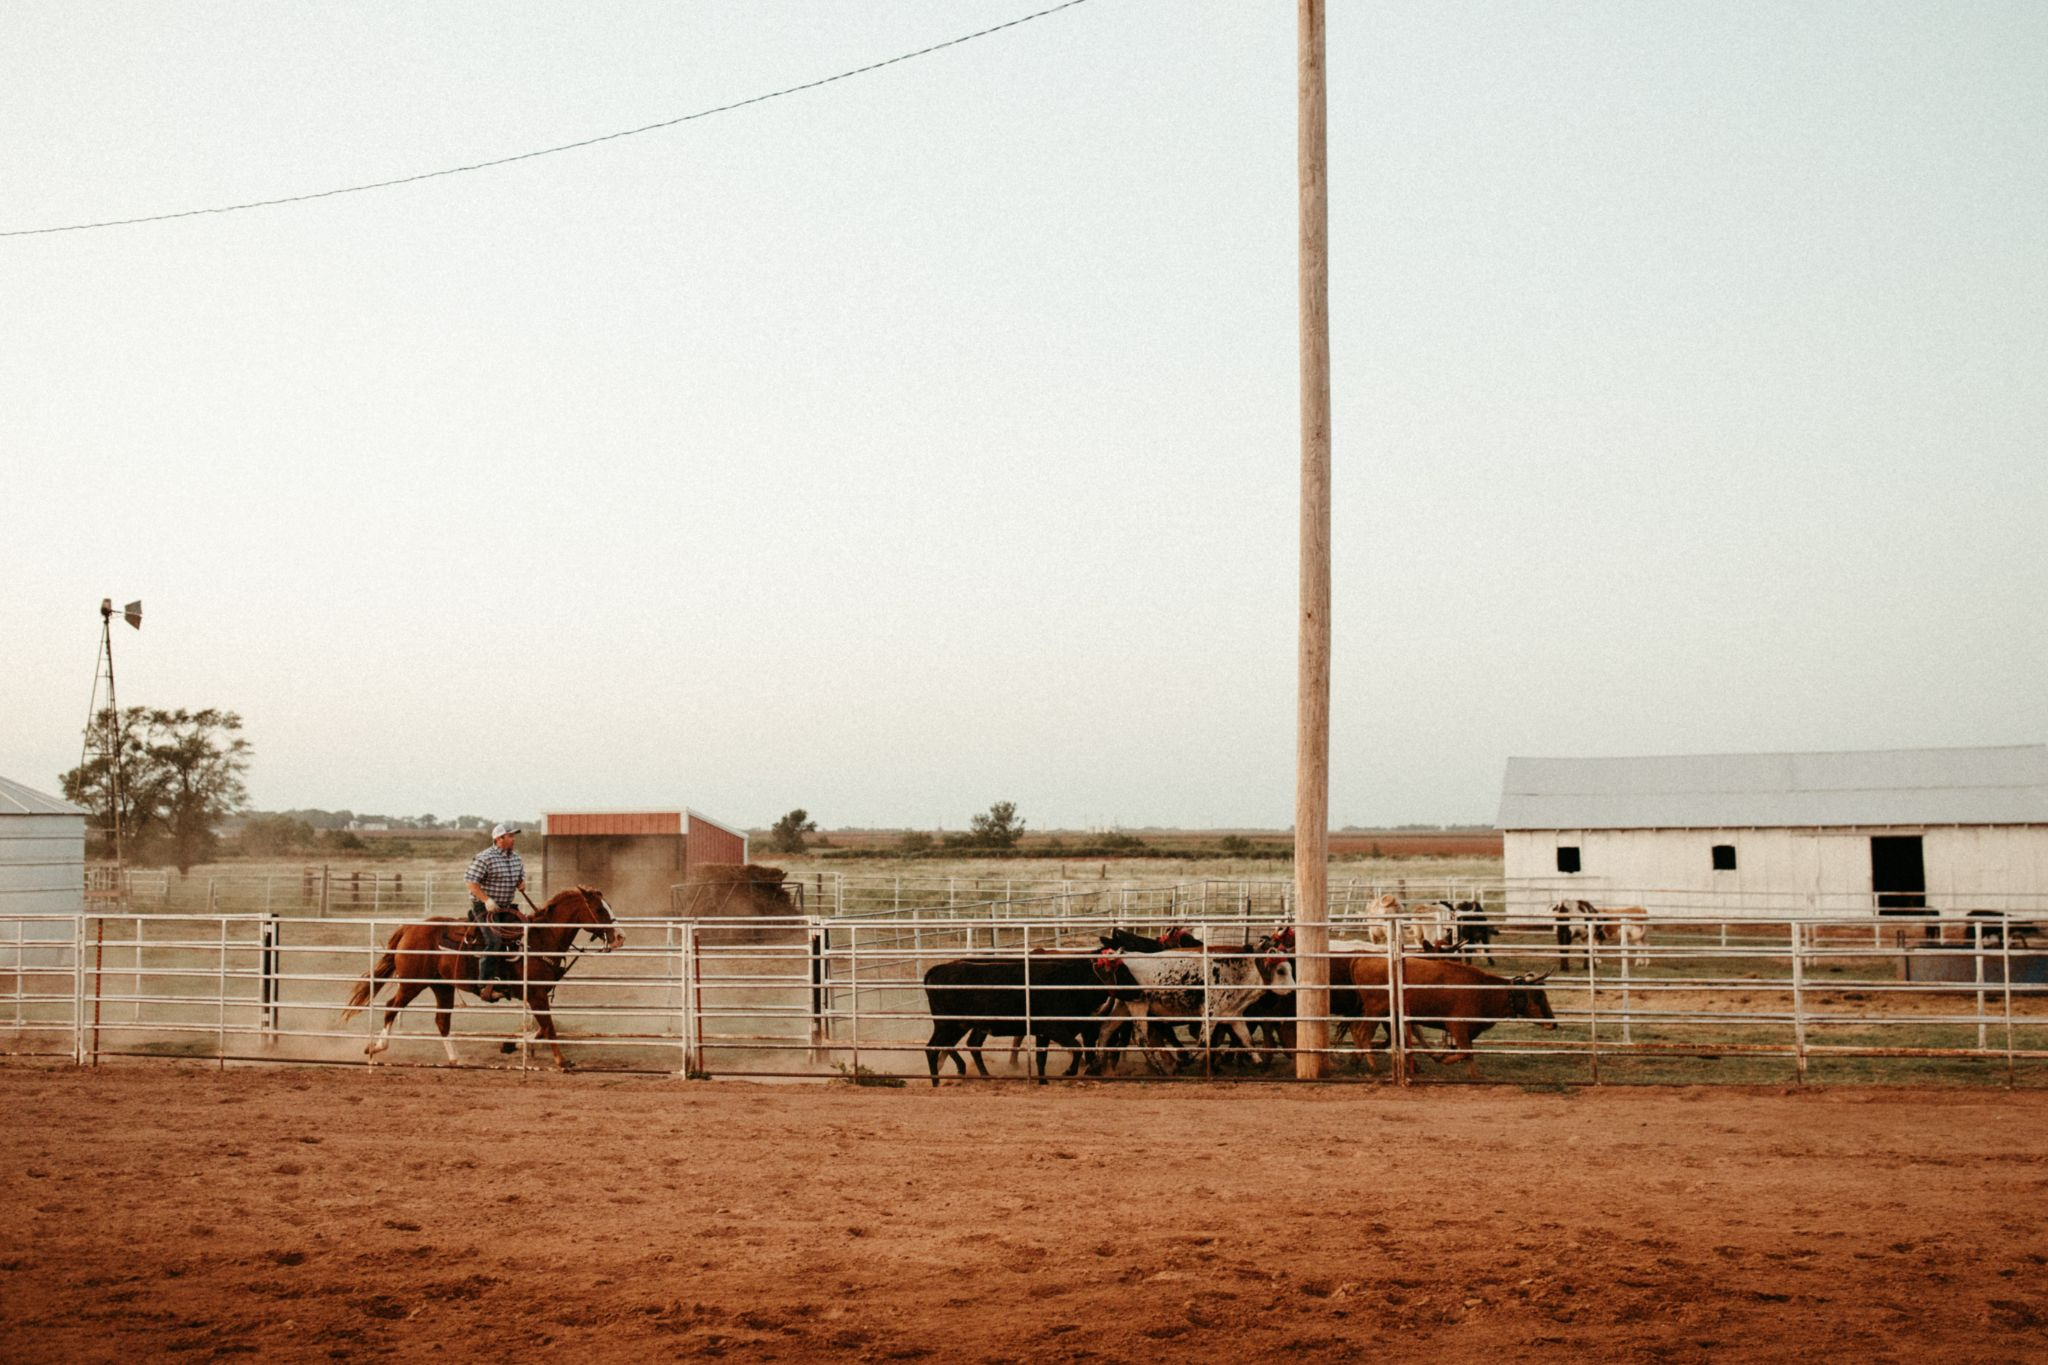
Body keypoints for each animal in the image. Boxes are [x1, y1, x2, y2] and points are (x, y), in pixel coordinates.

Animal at [344, 888, 618, 1064]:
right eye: (599, 910)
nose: (620, 936)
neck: (540, 939)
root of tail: (410, 928)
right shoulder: (536, 994)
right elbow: (548, 1027)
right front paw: (563, 1061)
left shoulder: (536, 994)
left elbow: (541, 1029)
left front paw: (510, 1044)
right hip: (413, 982)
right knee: (392, 1007)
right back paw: (377, 1046)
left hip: (442, 986)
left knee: (442, 1021)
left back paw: (456, 1059)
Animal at [925, 957, 1138, 1080]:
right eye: (1124, 972)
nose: (1140, 990)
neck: (1072, 981)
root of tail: (936, 970)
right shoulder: (1054, 1028)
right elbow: (1076, 1047)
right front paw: (1068, 1072)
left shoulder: (1043, 1032)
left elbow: (1040, 1058)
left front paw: (1042, 1080)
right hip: (947, 1024)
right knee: (933, 1047)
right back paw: (936, 1080)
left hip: (962, 1025)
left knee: (965, 1045)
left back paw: (983, 1075)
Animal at [1343, 957, 1548, 1080]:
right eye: (1538, 996)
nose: (1551, 1022)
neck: (1483, 991)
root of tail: (1363, 959)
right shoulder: (1457, 1026)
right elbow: (1466, 1052)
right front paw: (1442, 1058)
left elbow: (1469, 1053)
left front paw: (1475, 1076)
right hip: (1377, 1010)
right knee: (1363, 1032)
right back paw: (1373, 1065)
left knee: (1356, 1028)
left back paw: (1357, 1058)